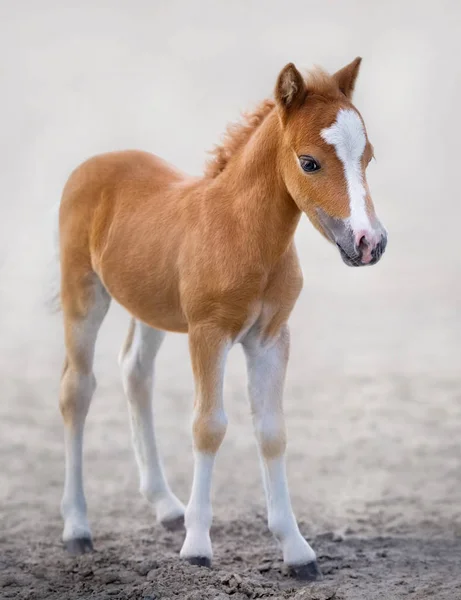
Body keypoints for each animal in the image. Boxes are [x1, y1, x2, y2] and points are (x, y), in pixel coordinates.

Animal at [59, 58, 386, 580]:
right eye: (309, 162)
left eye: (368, 157)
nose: (369, 242)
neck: (243, 234)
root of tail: (96, 162)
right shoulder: (208, 333)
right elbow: (208, 426)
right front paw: (197, 547)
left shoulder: (271, 338)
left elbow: (272, 432)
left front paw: (297, 551)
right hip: (83, 293)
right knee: (77, 390)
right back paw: (77, 529)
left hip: (149, 304)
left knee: (135, 372)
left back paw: (166, 507)